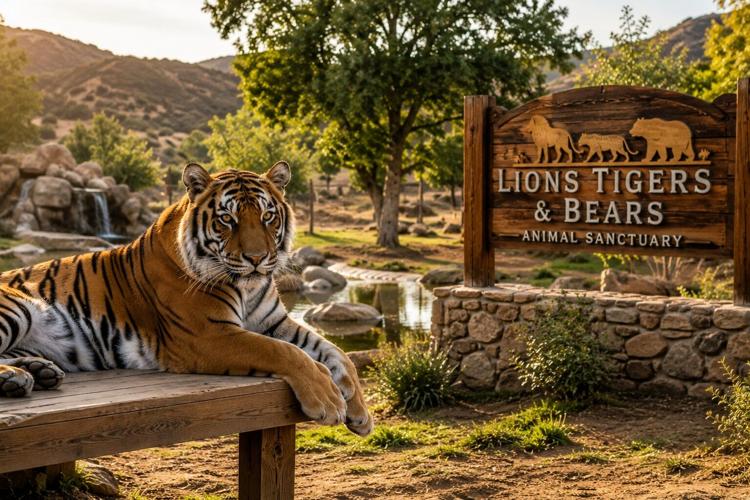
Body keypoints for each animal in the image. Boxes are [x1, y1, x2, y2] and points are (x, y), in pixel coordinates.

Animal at [0, 162, 372, 436]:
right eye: (227, 219)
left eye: (267, 216)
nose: (257, 258)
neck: (248, 287)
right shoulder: (208, 334)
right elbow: (285, 353)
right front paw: (328, 401)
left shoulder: (276, 322)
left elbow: (336, 353)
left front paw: (360, 414)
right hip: (18, 307)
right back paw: (18, 377)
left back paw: (38, 372)